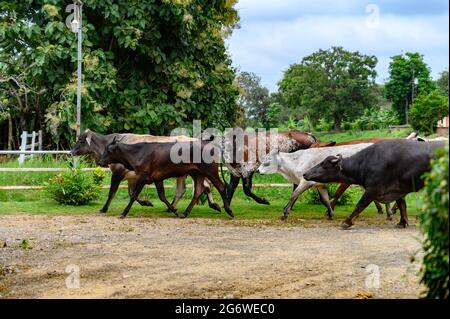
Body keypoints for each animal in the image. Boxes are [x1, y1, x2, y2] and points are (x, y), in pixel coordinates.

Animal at [302, 140, 446, 230]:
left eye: (324, 165)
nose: (305, 174)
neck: (368, 162)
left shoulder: (373, 189)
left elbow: (360, 204)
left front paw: (346, 222)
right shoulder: (398, 190)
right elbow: (402, 206)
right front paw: (402, 222)